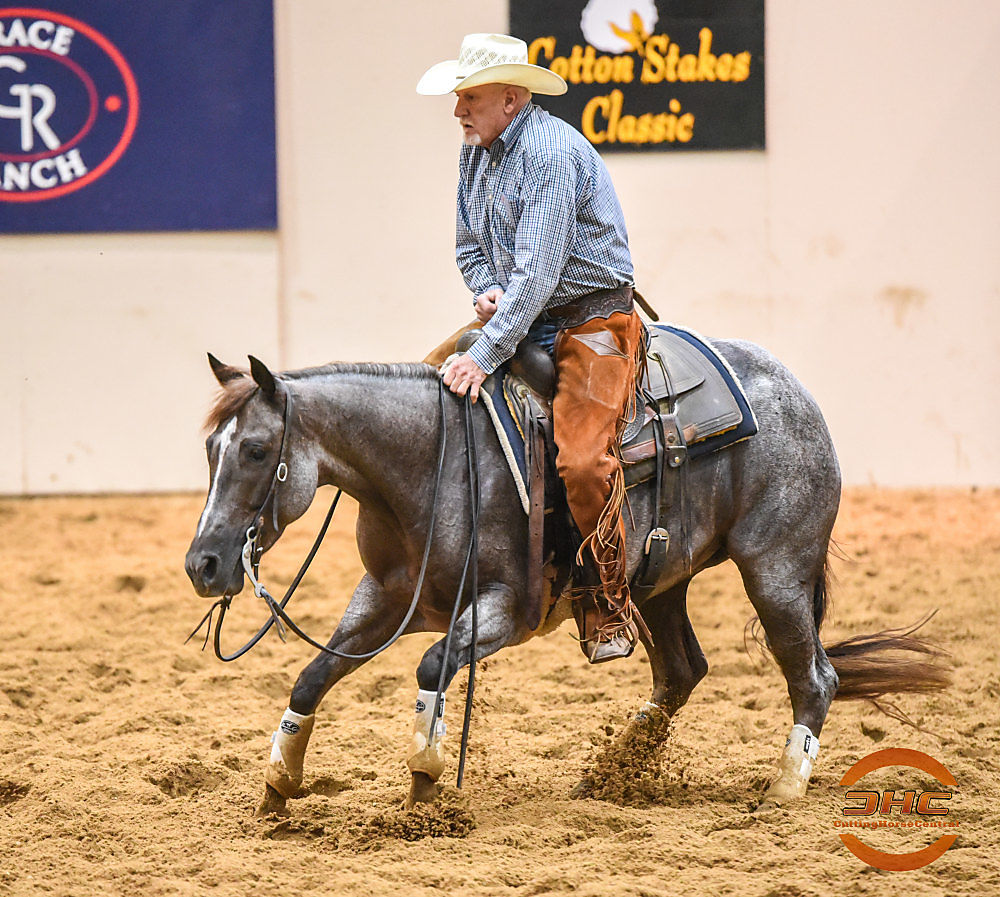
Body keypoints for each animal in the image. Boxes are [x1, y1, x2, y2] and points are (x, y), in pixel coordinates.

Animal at [184, 343, 949, 817]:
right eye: (211, 447)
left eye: (257, 448)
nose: (204, 564)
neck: (431, 463)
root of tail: (797, 393)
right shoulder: (386, 597)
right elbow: (311, 677)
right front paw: (278, 786)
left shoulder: (503, 608)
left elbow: (432, 666)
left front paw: (426, 783)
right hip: (660, 581)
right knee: (683, 669)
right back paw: (613, 769)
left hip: (777, 571)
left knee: (813, 675)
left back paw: (783, 790)